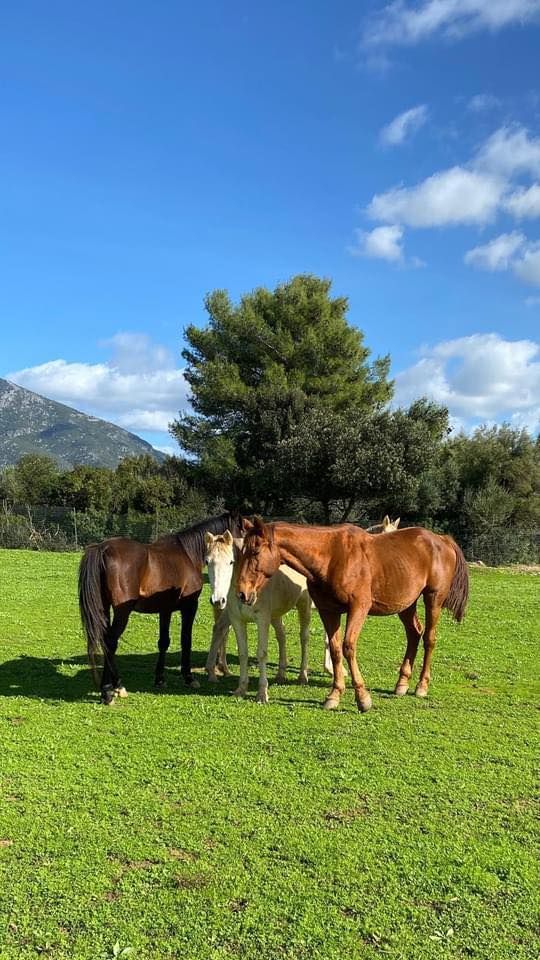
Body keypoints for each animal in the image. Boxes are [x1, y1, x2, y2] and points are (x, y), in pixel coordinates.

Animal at [79, 510, 242, 704]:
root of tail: (103, 548)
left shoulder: (165, 609)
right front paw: (188, 677)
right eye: (242, 529)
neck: (187, 554)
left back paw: (115, 686)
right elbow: (186, 639)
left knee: (106, 641)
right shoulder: (189, 607)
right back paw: (109, 690)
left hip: (104, 608)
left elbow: (163, 642)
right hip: (122, 612)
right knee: (110, 642)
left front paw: (159, 679)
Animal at [204, 528, 312, 700]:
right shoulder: (237, 620)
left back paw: (303, 676)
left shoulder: (262, 620)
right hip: (275, 615)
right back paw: (280, 674)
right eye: (207, 561)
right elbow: (243, 653)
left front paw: (262, 693)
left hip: (304, 605)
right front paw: (241, 689)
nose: (218, 600)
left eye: (231, 562)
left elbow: (261, 654)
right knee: (282, 636)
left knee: (304, 638)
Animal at [236, 516, 468, 712]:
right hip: (406, 604)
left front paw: (362, 698)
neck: (332, 557)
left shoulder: (359, 608)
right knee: (414, 634)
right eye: (241, 552)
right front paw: (334, 695)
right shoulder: (328, 611)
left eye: (255, 552)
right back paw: (402, 683)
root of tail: (442, 540)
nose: (242, 593)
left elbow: (348, 647)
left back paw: (421, 685)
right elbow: (336, 649)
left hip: (433, 599)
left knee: (429, 638)